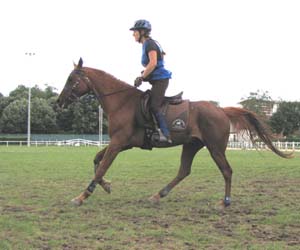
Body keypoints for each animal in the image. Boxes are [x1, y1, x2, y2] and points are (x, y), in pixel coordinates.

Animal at [57, 57, 292, 206]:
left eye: (71, 79)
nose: (59, 101)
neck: (122, 102)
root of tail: (221, 110)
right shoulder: (122, 143)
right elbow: (97, 160)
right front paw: (105, 186)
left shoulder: (118, 143)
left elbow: (102, 166)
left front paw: (82, 196)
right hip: (191, 145)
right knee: (184, 171)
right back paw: (158, 195)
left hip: (215, 148)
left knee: (226, 171)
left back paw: (225, 202)